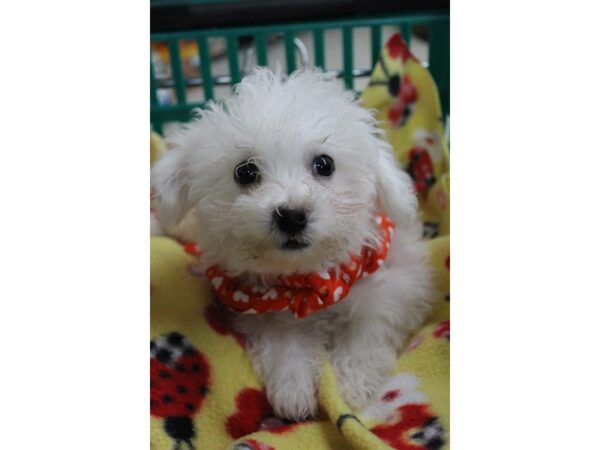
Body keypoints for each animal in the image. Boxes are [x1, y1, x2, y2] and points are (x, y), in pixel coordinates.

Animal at [152, 68, 434, 420]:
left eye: (325, 164)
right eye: (245, 172)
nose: (291, 216)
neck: (307, 280)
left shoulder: (393, 287)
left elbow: (366, 332)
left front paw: (351, 388)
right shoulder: (261, 310)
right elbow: (283, 343)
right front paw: (293, 393)